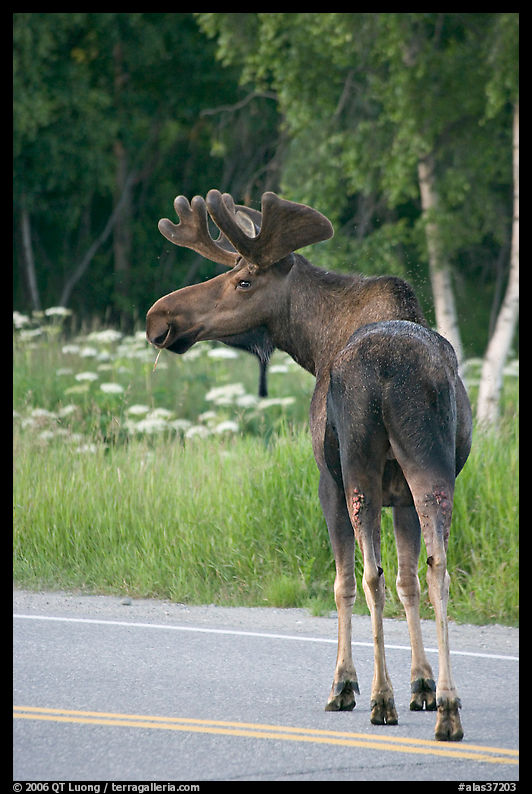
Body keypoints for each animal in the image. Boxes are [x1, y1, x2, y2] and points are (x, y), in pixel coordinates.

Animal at [146, 190, 472, 742]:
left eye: (243, 279)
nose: (158, 317)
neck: (315, 344)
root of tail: (388, 374)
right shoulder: (403, 496)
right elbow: (409, 580)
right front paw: (423, 685)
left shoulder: (327, 481)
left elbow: (345, 583)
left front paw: (346, 684)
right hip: (429, 470)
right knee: (438, 569)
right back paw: (449, 709)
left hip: (357, 471)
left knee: (369, 576)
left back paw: (380, 700)